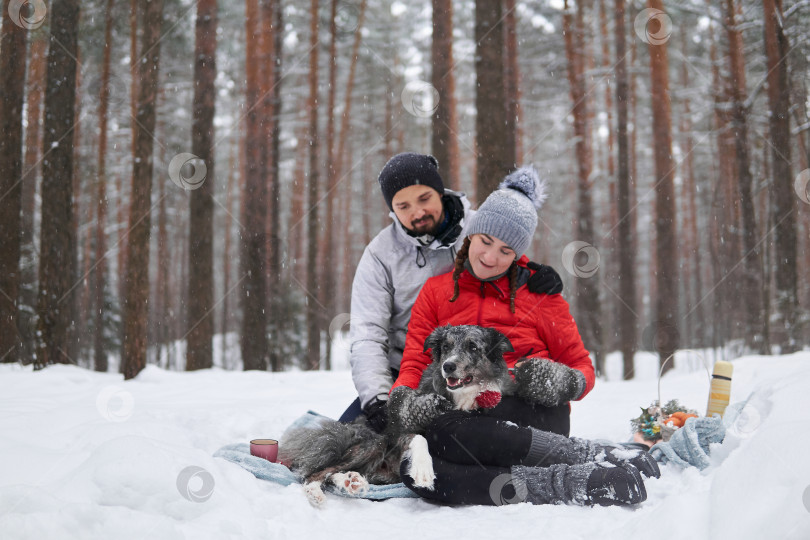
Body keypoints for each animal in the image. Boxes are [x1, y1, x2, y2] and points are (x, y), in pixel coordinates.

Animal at [280, 324, 512, 506]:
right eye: (446, 347)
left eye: (473, 346)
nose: (448, 366)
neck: (458, 397)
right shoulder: (402, 429)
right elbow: (418, 438)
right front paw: (423, 470)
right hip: (375, 443)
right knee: (314, 473)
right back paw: (317, 491)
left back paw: (351, 481)